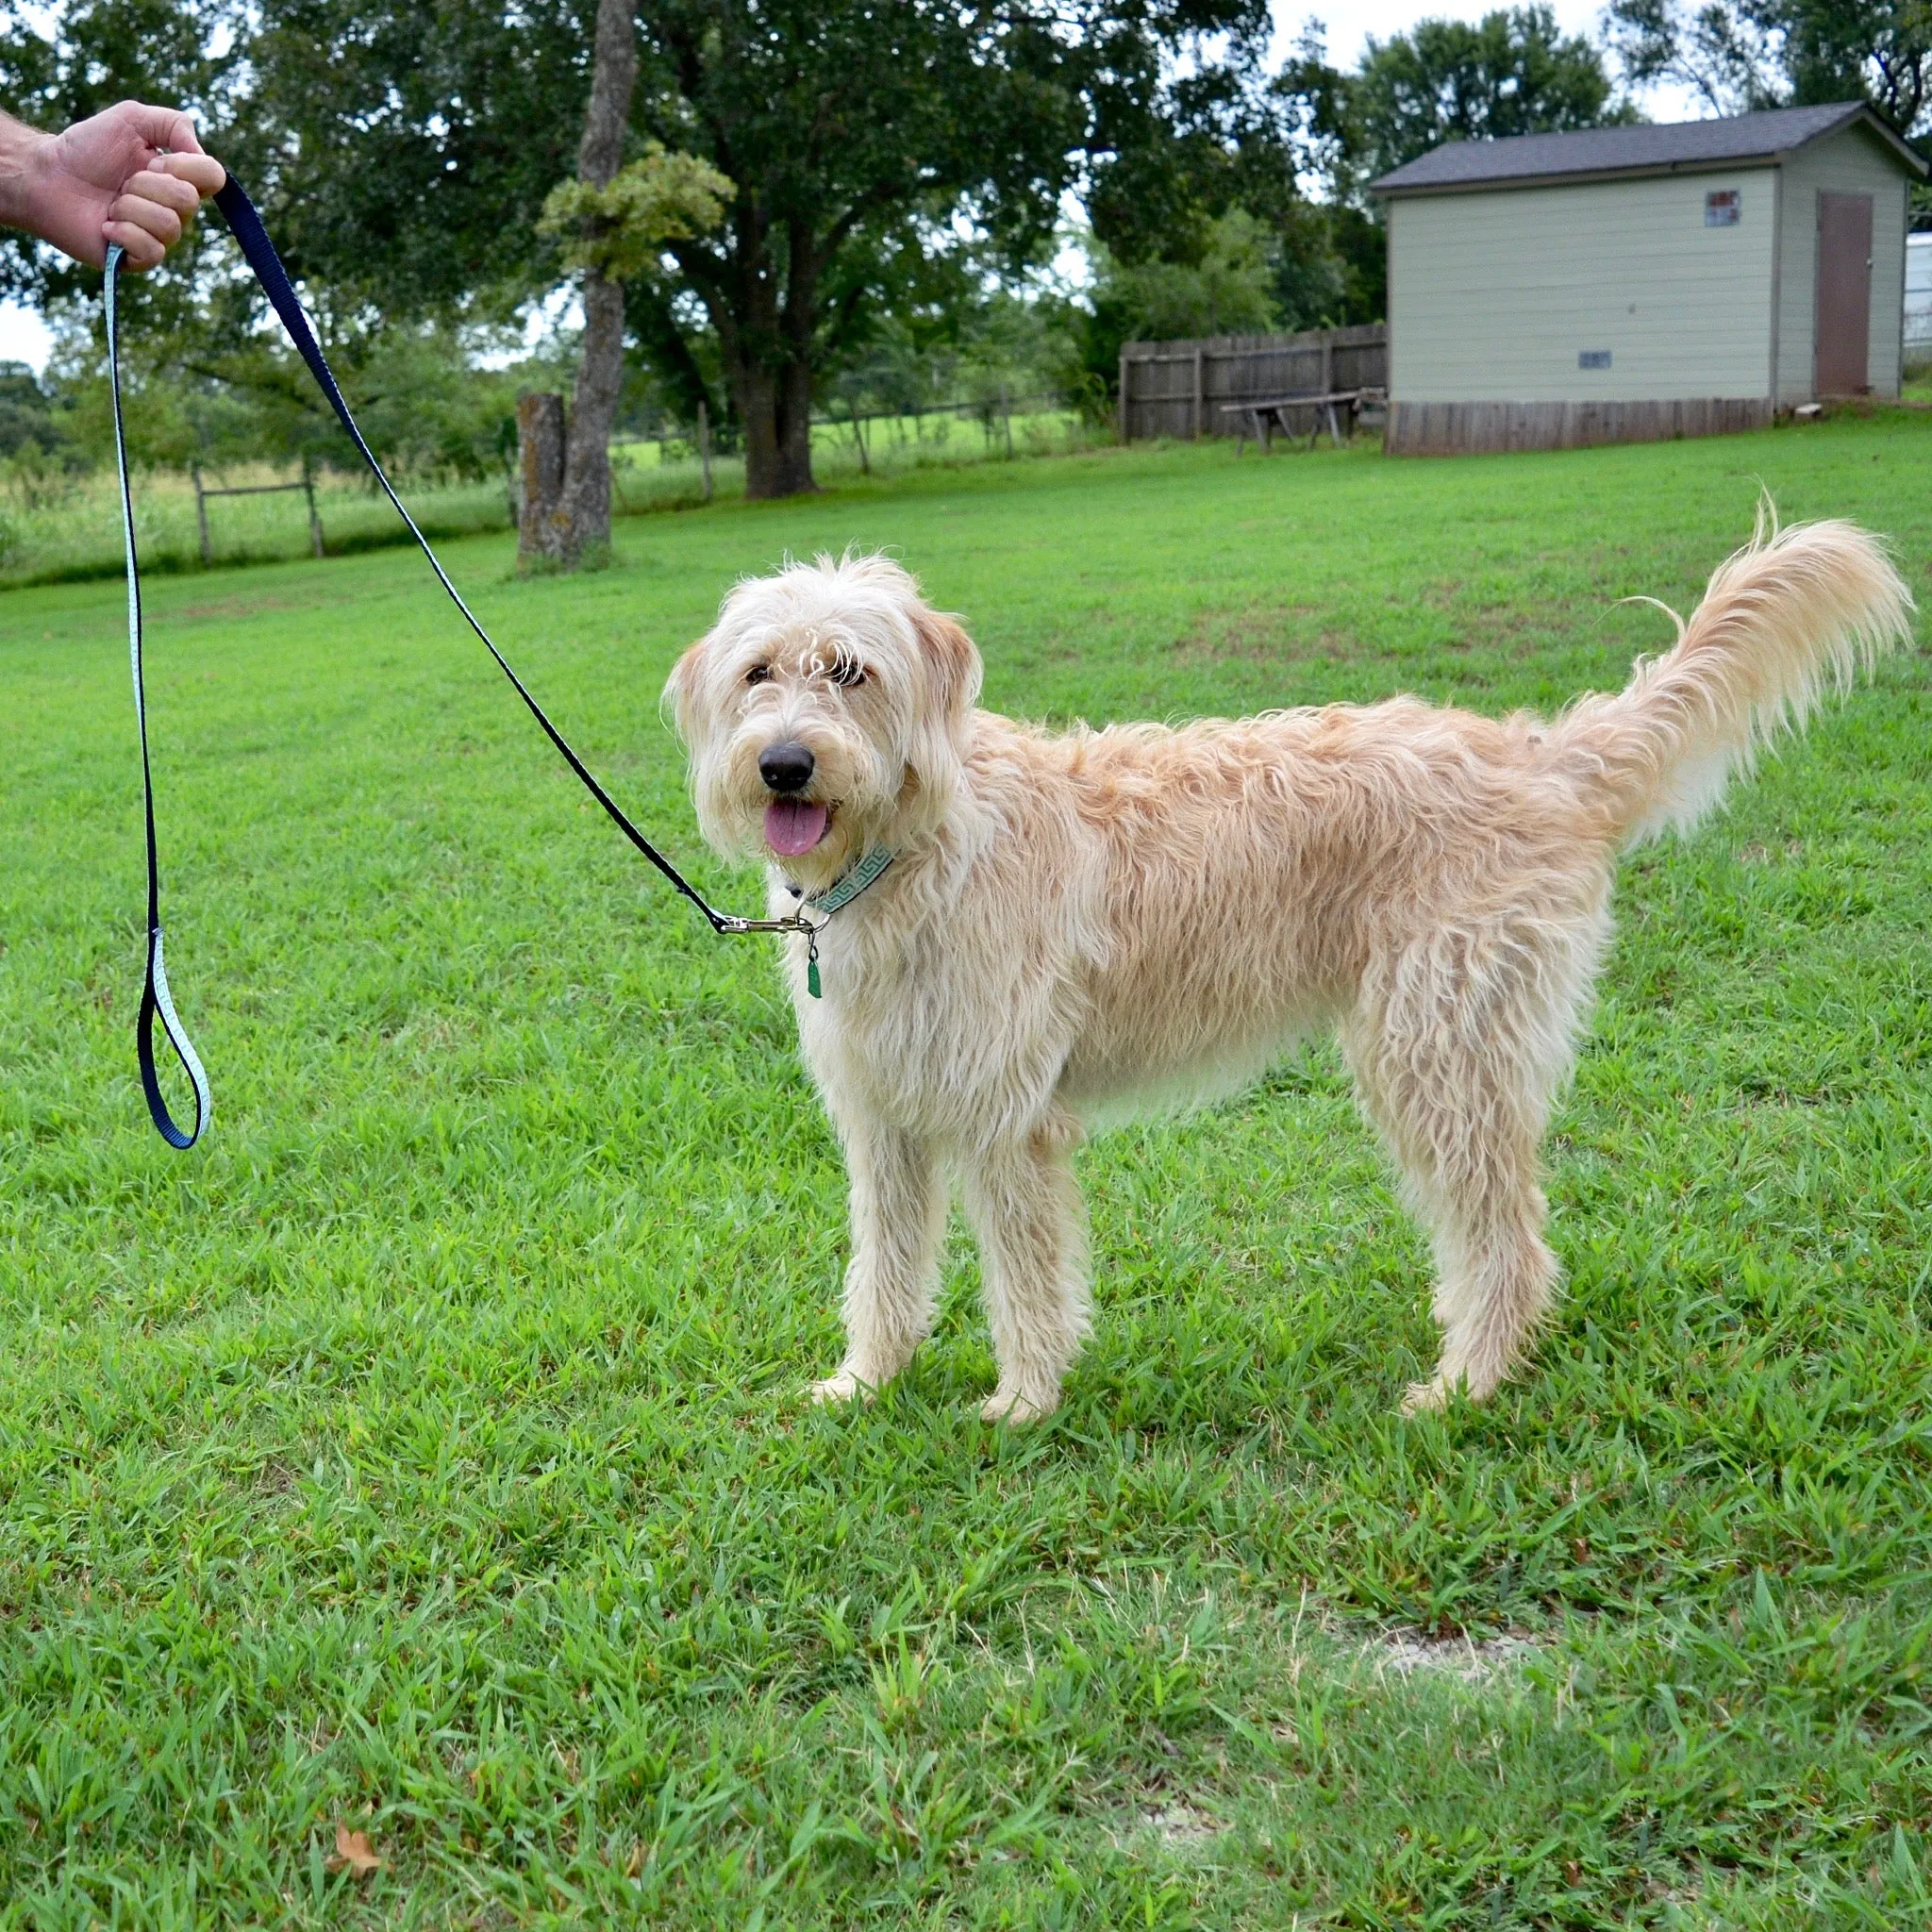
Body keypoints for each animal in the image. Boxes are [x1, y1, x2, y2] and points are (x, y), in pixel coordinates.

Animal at [668, 521, 1916, 1429]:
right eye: (757, 672)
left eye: (850, 671)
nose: (785, 763)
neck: (915, 845)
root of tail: (1539, 753)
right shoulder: (883, 1115)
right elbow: (883, 1263)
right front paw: (863, 1383)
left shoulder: (1005, 1118)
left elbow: (1024, 1277)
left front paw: (1020, 1404)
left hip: (1436, 1048)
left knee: (1502, 1232)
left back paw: (1465, 1382)